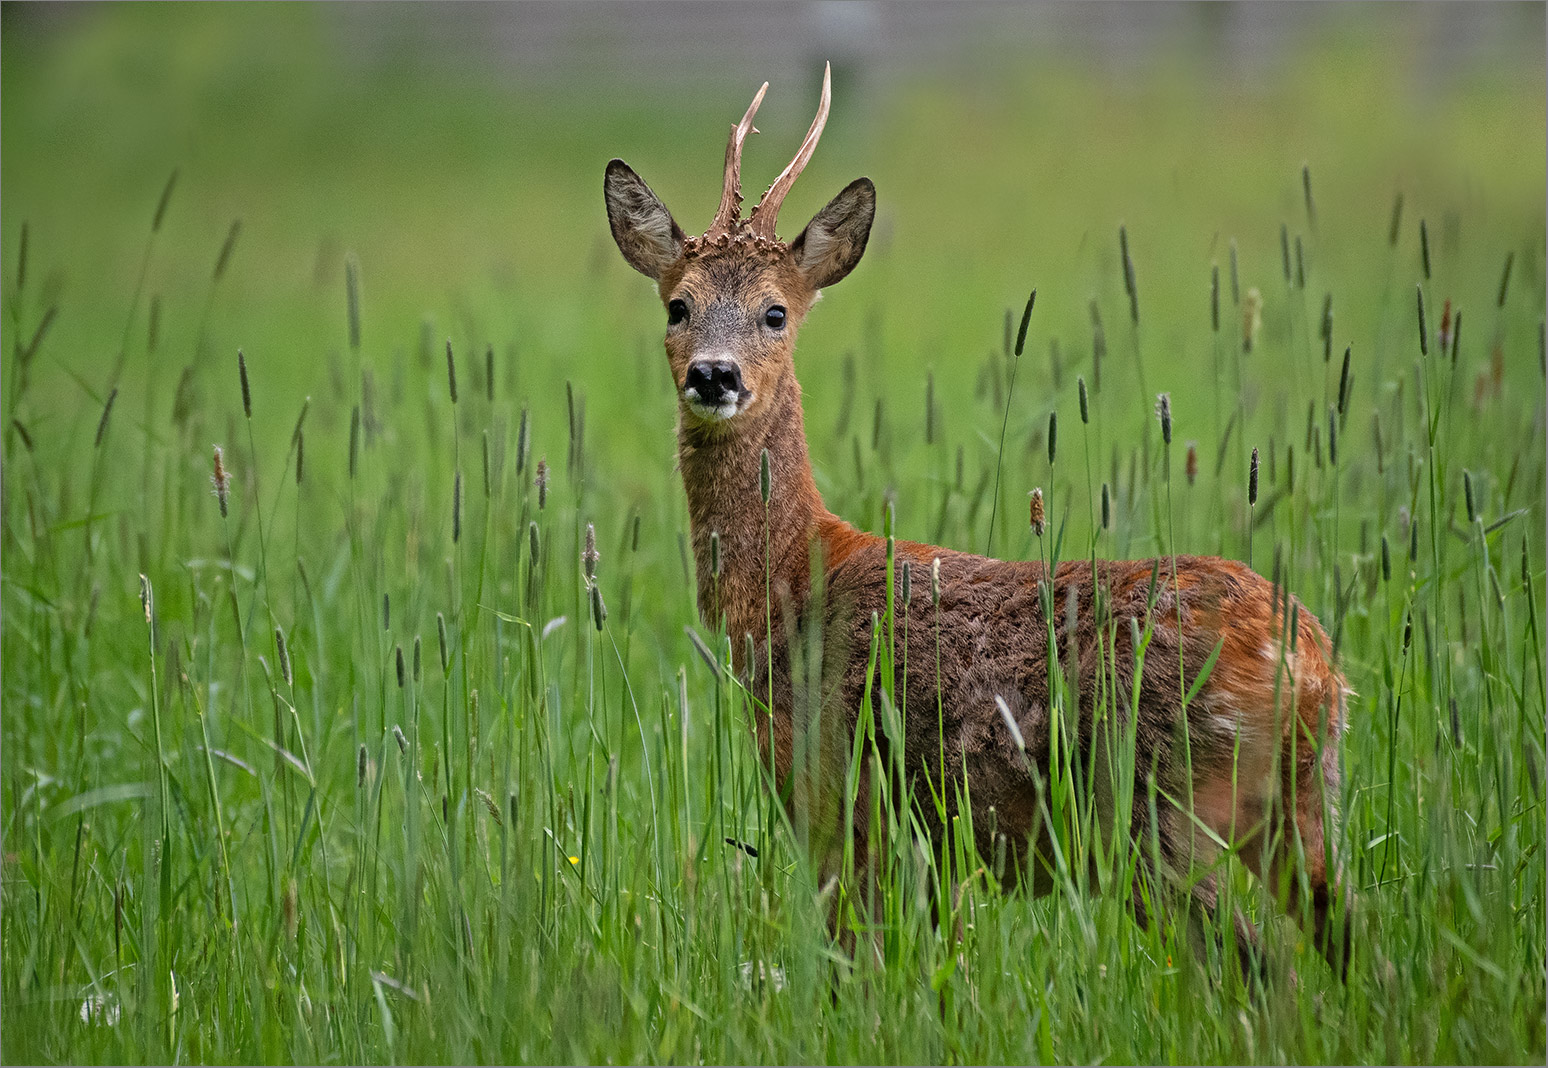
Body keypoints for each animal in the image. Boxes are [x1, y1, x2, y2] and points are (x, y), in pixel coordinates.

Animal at [603, 66, 1356, 978]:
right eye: (677, 306)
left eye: (776, 313)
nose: (715, 375)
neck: (793, 585)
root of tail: (1311, 666)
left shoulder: (837, 800)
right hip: (1298, 809)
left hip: (1156, 817)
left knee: (1263, 965)